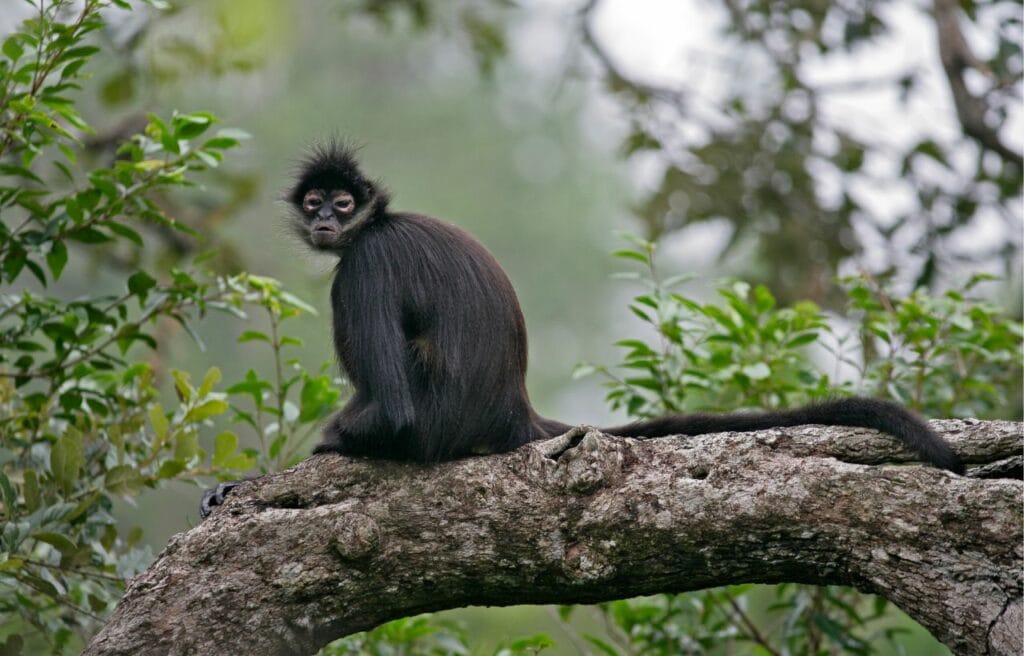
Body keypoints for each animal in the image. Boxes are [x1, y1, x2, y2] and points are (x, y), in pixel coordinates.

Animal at [199, 142, 963, 518]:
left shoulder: (362, 269)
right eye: (314, 202)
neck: (376, 225)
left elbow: (389, 412)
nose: (327, 221)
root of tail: (510, 409)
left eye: (343, 203)